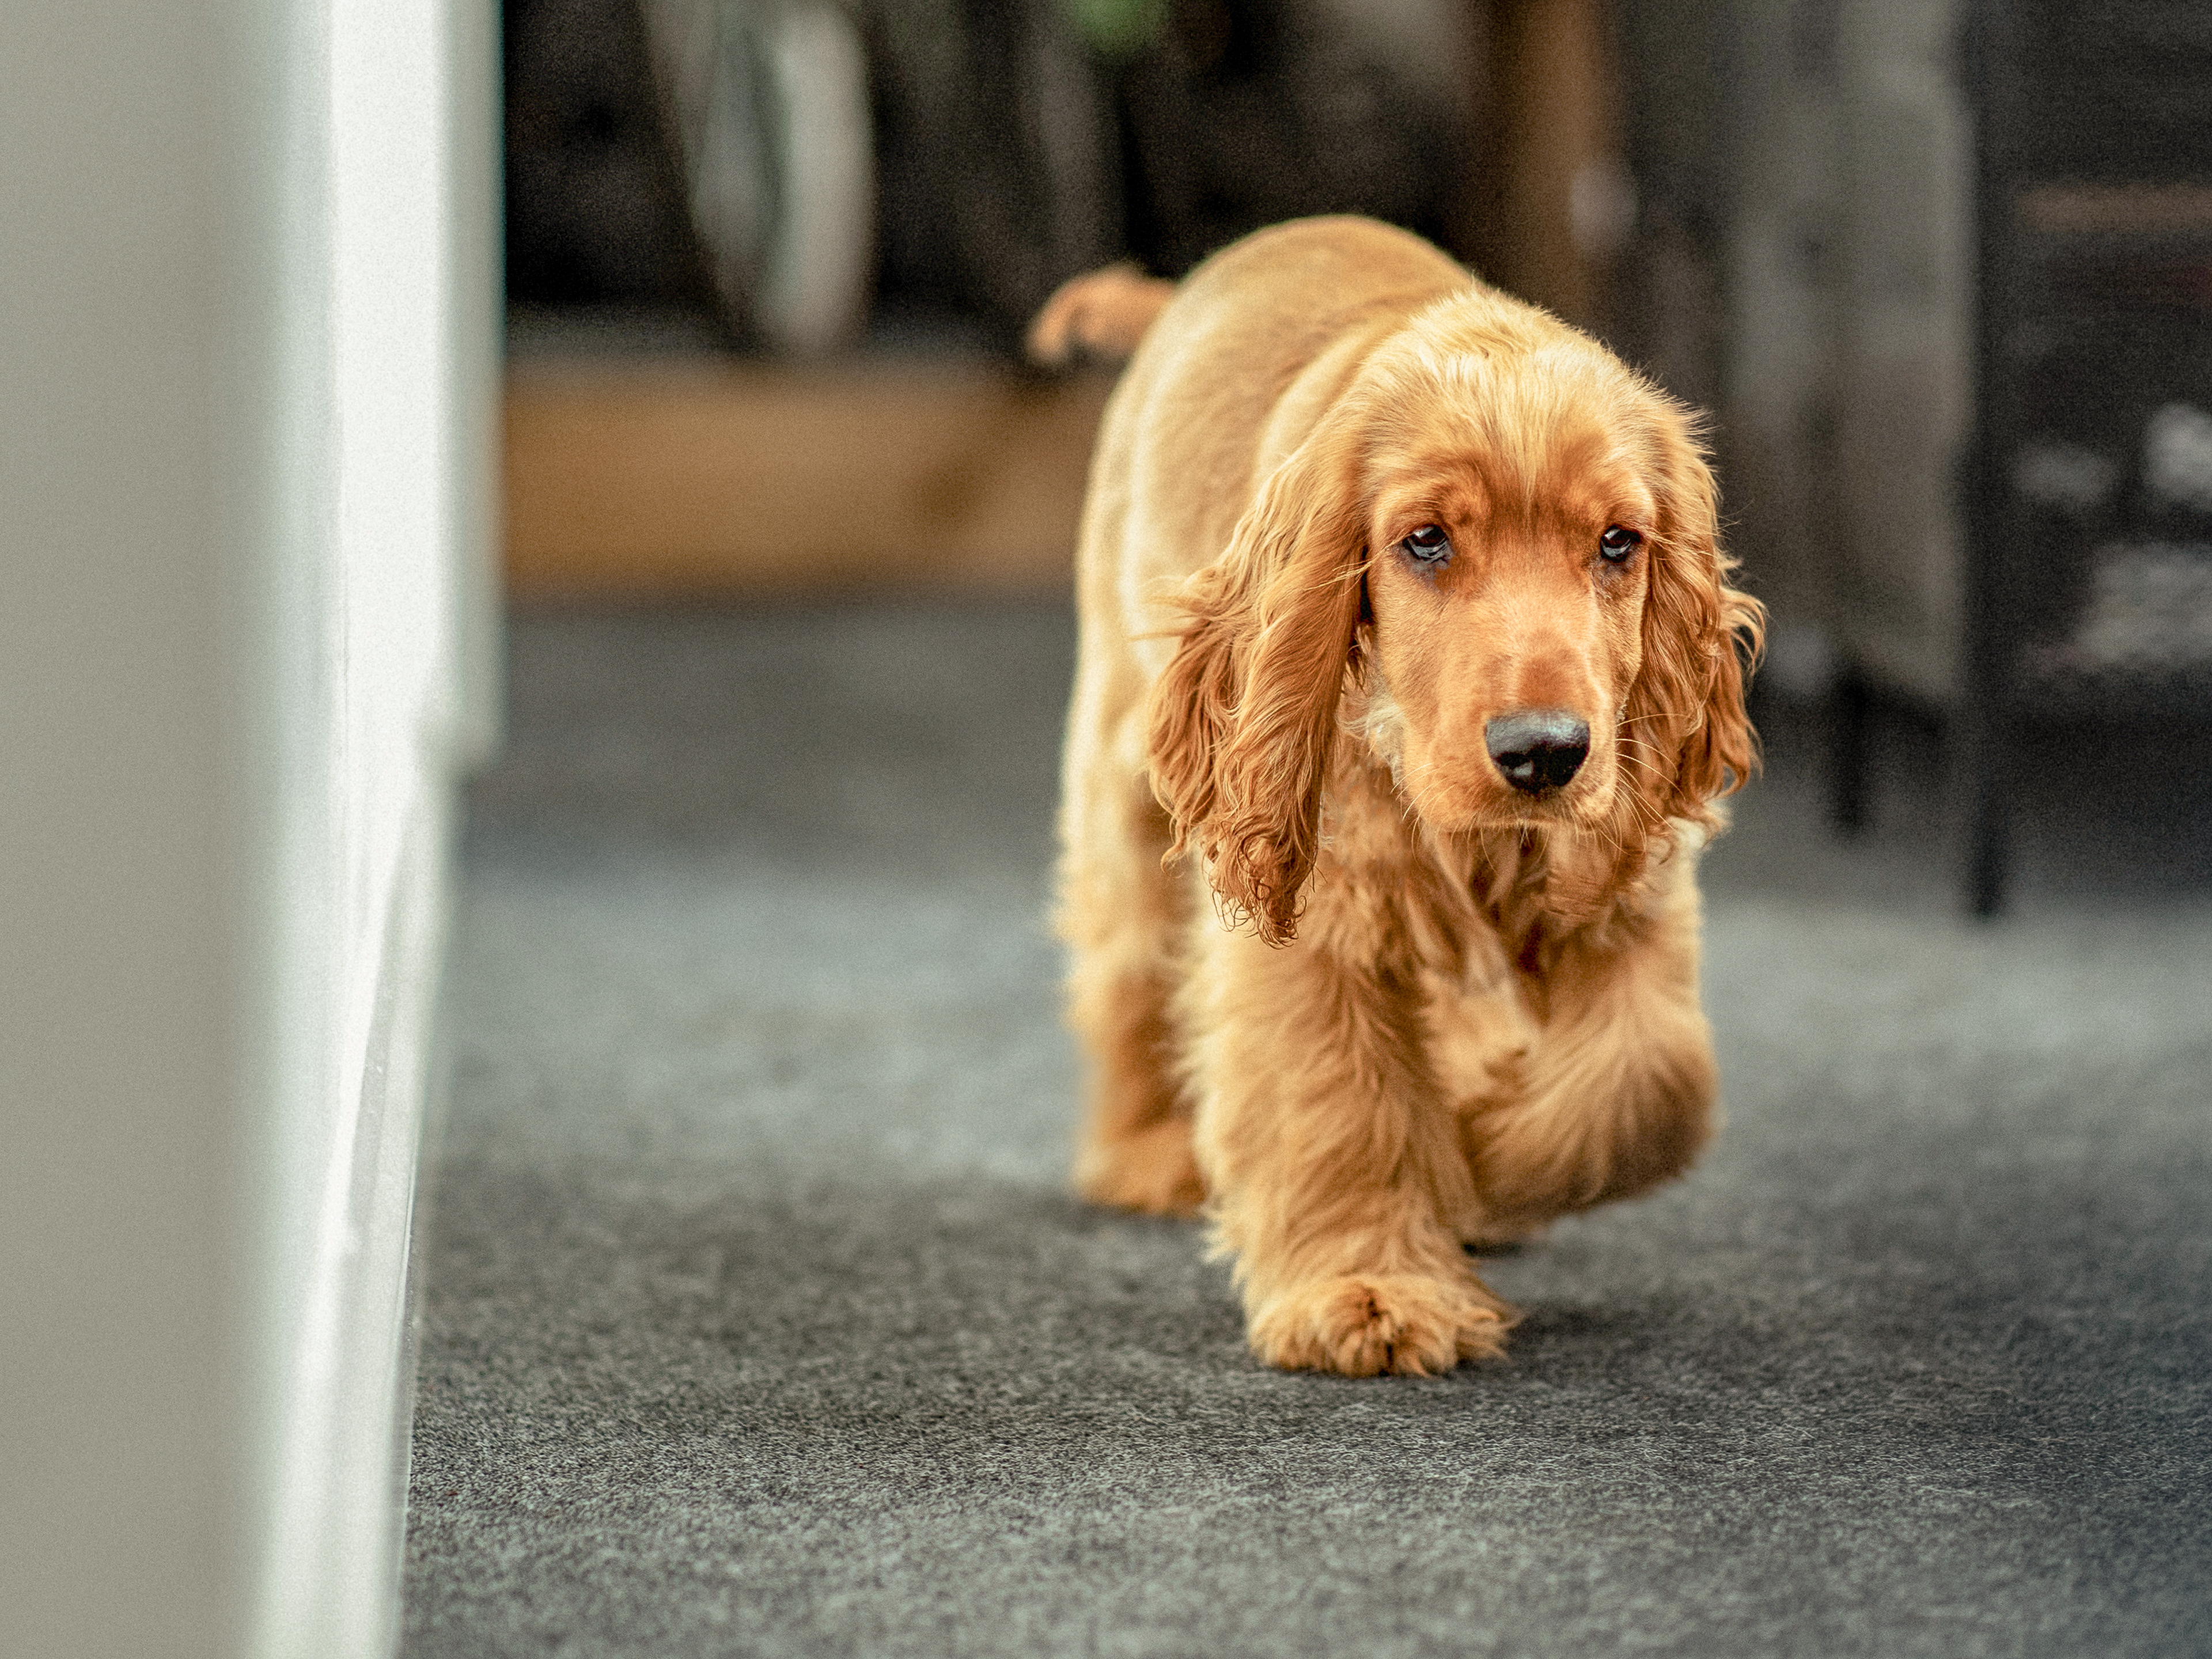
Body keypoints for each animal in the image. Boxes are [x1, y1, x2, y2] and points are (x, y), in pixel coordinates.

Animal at [1035, 218, 1760, 1380]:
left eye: (1618, 543)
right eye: (1425, 541)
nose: (1545, 754)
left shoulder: (1625, 879)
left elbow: (1642, 1086)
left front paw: (1481, 1164)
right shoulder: (1315, 904)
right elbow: (1336, 1095)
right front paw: (1370, 1289)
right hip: (1129, 766)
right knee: (1131, 961)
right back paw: (1147, 1153)